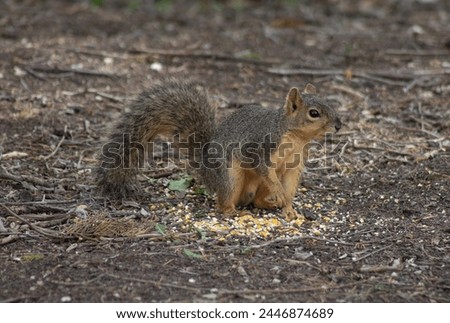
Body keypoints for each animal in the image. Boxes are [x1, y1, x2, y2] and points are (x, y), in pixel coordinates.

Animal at [96, 79, 342, 220]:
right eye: (314, 113)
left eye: (330, 104)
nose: (338, 125)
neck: (295, 137)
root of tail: (204, 166)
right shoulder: (259, 148)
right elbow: (268, 173)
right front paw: (280, 193)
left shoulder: (294, 165)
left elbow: (290, 186)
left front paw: (289, 208)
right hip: (230, 177)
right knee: (223, 204)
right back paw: (236, 212)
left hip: (254, 187)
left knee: (256, 200)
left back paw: (269, 202)